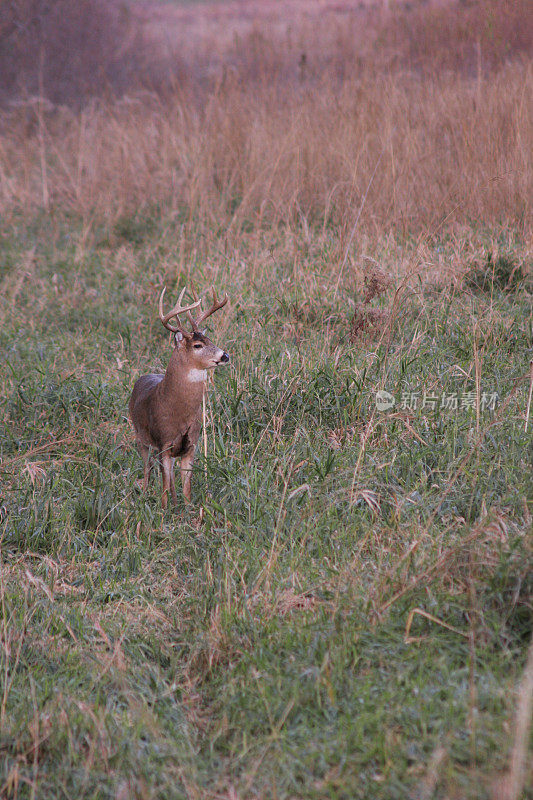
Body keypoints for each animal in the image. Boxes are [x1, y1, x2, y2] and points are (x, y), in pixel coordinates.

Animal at [130, 286, 230, 506]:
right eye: (197, 345)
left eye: (210, 340)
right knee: (147, 469)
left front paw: (187, 507)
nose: (224, 355)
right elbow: (164, 485)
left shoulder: (191, 444)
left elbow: (186, 487)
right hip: (140, 437)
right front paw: (163, 510)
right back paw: (145, 496)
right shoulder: (163, 442)